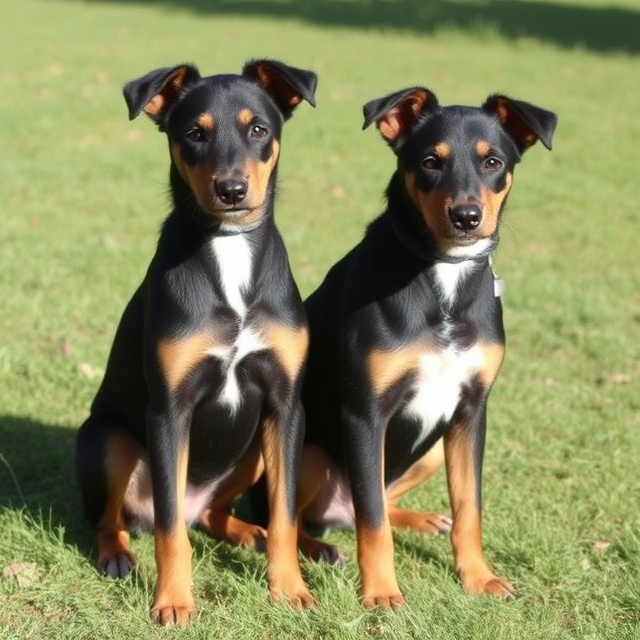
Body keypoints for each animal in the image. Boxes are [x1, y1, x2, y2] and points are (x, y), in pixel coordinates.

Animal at [75, 60, 318, 624]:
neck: (229, 253)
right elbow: (168, 532)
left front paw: (290, 589)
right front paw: (173, 601)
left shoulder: (285, 404)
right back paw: (117, 555)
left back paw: (247, 532)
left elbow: (286, 514)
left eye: (259, 129)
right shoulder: (170, 410)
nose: (231, 189)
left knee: (212, 514)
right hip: (108, 441)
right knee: (119, 520)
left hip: (252, 450)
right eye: (194, 133)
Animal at [296, 87, 556, 608]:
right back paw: (314, 548)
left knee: (381, 499)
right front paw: (381, 593)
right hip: (310, 451)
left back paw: (419, 519)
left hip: (433, 446)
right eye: (431, 162)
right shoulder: (364, 413)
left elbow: (469, 507)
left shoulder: (471, 412)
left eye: (493, 162)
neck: (444, 280)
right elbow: (372, 523)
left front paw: (478, 577)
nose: (467, 217)